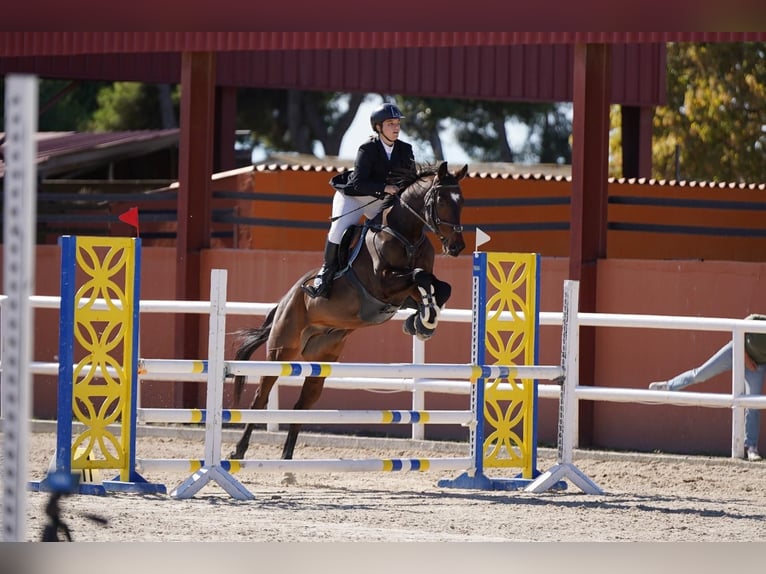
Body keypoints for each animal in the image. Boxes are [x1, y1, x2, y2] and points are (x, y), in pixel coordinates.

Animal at [228, 162, 468, 464]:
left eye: (462, 201)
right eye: (442, 201)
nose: (457, 247)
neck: (407, 237)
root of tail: (285, 300)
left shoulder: (405, 293)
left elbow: (440, 287)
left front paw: (422, 322)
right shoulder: (384, 285)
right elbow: (420, 276)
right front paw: (422, 321)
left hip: (322, 358)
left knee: (302, 404)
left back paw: (287, 461)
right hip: (281, 350)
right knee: (261, 396)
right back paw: (239, 450)